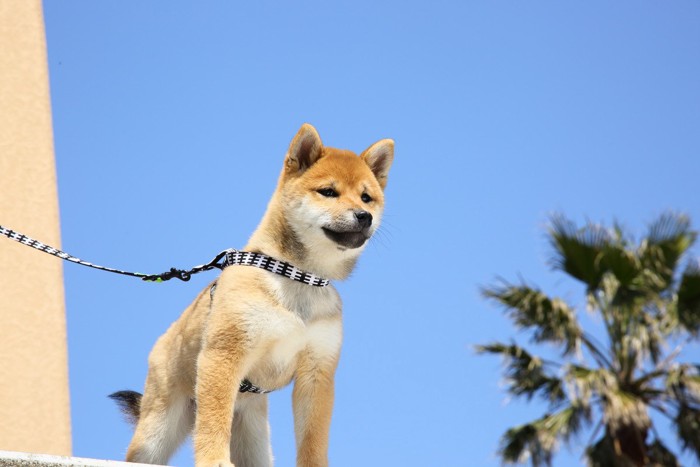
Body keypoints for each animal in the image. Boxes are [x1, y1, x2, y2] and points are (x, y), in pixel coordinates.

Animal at [109, 125, 394, 467]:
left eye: (367, 197)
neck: (296, 277)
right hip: (158, 428)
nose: (364, 215)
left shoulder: (316, 372)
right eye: (328, 192)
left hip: (255, 440)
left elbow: (314, 439)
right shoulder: (224, 354)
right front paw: (214, 460)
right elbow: (213, 422)